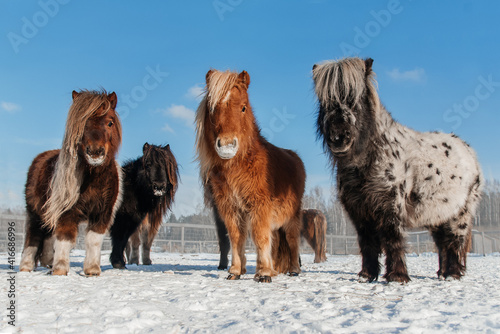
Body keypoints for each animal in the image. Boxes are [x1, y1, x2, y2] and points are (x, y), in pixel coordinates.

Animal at [19, 90, 123, 276]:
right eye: (82, 123)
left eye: (110, 122)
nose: (95, 152)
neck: (93, 178)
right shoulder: (66, 211)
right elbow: (65, 239)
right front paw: (60, 269)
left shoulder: (101, 213)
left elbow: (94, 240)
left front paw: (92, 269)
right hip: (35, 213)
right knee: (33, 237)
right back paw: (26, 267)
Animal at [194, 69, 304, 284]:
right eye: (212, 108)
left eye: (243, 107)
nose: (227, 146)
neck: (240, 165)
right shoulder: (230, 208)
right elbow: (236, 237)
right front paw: (236, 271)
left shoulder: (259, 206)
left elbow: (259, 236)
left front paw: (263, 274)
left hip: (292, 215)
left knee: (293, 240)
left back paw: (294, 270)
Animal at [314, 58, 482, 282]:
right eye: (325, 100)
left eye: (355, 98)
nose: (339, 136)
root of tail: (469, 151)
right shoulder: (360, 211)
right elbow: (367, 243)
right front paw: (366, 275)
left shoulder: (390, 206)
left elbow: (393, 240)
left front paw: (397, 276)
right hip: (439, 214)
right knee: (443, 244)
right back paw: (442, 273)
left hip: (460, 213)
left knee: (454, 241)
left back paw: (452, 274)